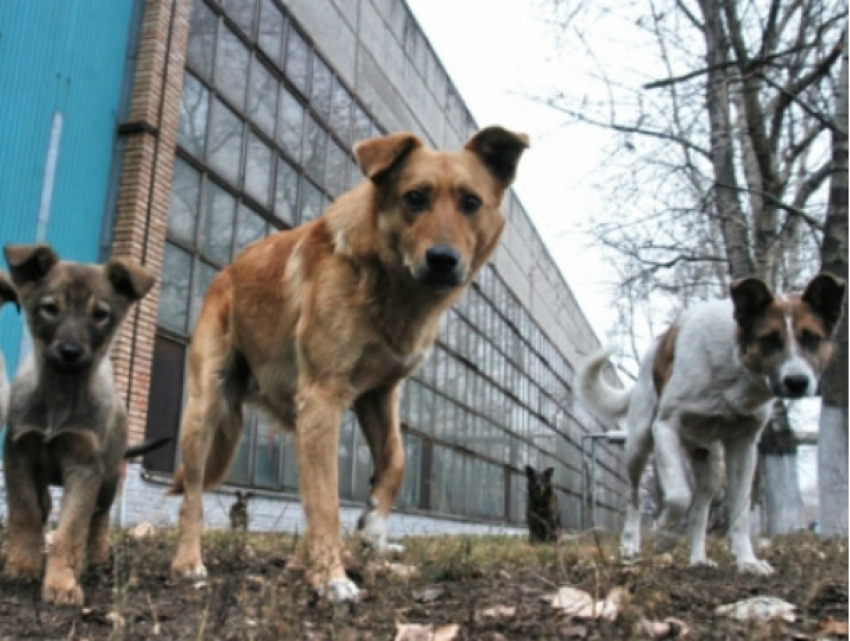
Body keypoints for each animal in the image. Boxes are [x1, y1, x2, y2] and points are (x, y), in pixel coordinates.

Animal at [4, 242, 156, 604]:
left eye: (99, 315)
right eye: (50, 309)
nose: (70, 351)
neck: (60, 394)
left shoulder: (85, 466)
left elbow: (71, 529)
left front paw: (62, 582)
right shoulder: (18, 454)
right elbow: (25, 512)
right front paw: (22, 563)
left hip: (109, 477)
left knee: (99, 519)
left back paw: (97, 557)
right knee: (44, 505)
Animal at [168, 126, 528, 600]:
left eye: (471, 202)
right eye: (415, 197)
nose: (442, 260)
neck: (388, 283)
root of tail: (224, 273)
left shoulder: (379, 395)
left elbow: (395, 461)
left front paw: (373, 526)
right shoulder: (324, 396)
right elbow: (327, 500)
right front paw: (332, 578)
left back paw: (297, 562)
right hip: (205, 407)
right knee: (192, 494)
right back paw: (189, 562)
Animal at [576, 272, 840, 572]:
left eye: (812, 338)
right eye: (770, 339)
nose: (797, 382)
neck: (735, 368)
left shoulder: (744, 446)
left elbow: (739, 513)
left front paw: (747, 562)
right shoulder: (665, 427)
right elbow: (678, 495)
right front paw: (665, 534)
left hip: (710, 464)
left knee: (700, 509)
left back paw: (698, 558)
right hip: (639, 444)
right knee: (633, 496)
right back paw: (630, 546)